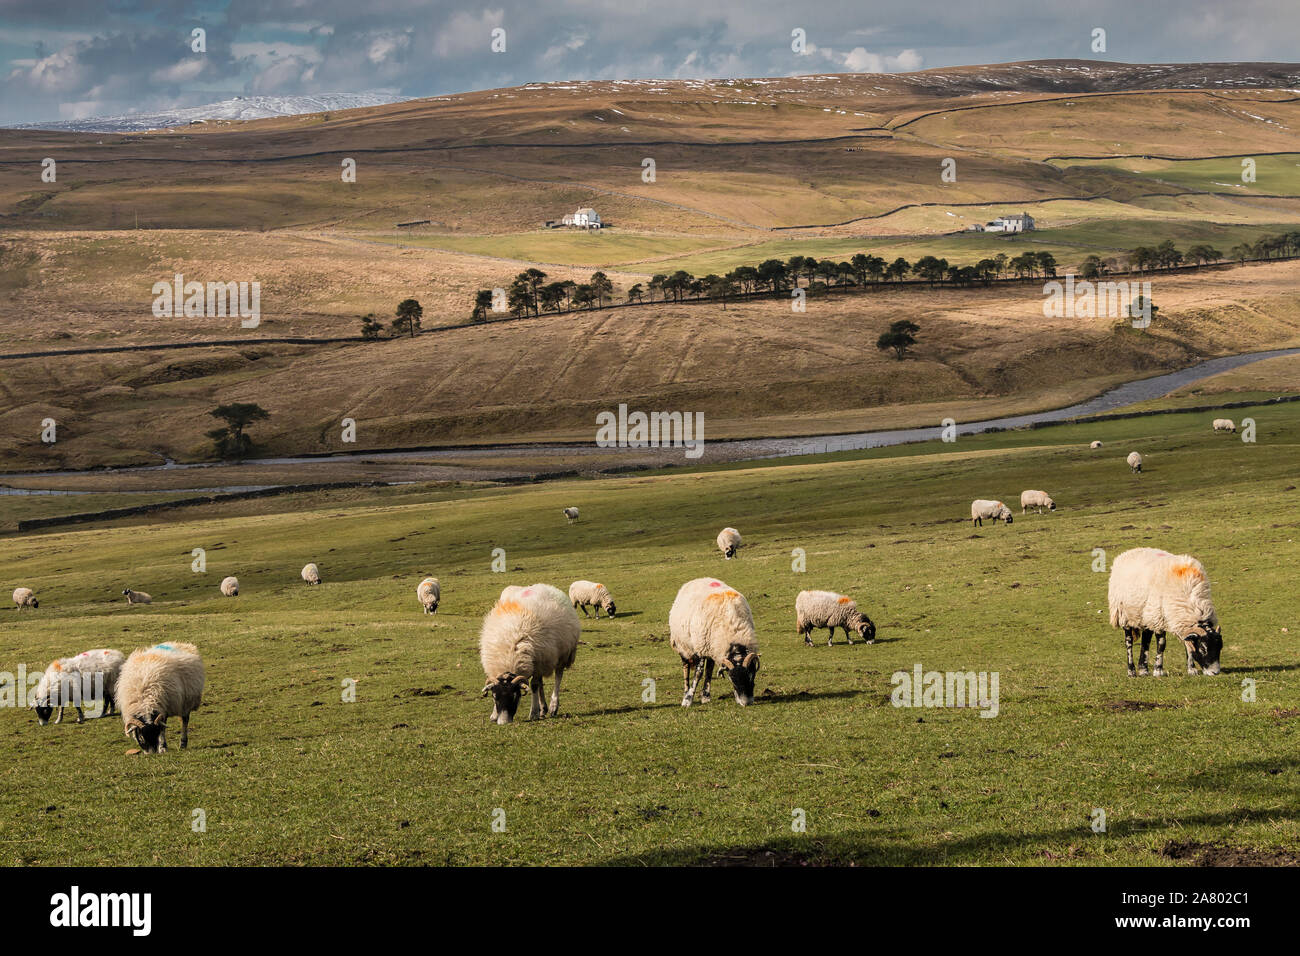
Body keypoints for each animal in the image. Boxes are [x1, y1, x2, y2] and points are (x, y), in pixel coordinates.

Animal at [478, 582, 579, 723]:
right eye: (494, 697)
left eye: (515, 696)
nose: (503, 722)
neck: (509, 655)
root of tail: (545, 586)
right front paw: (494, 715)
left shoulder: (539, 662)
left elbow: (534, 685)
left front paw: (534, 713)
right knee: (542, 682)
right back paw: (543, 708)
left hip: (561, 654)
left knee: (558, 677)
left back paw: (553, 706)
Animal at [1107, 546, 1216, 681]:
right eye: (1203, 648)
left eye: (1220, 647)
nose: (1215, 672)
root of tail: (1129, 551)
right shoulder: (1159, 618)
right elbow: (1162, 643)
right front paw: (1158, 671)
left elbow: (1188, 644)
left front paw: (1192, 670)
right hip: (1125, 615)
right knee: (1129, 642)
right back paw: (1131, 671)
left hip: (1146, 615)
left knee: (1146, 640)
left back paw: (1143, 670)